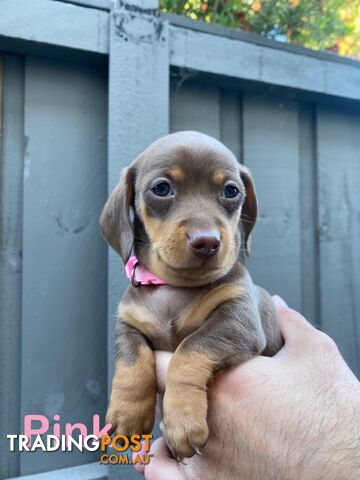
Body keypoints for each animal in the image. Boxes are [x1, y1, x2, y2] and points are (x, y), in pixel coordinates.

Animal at [100, 130, 282, 462]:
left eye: (231, 191)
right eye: (161, 188)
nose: (206, 242)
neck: (176, 287)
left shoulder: (238, 320)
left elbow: (190, 349)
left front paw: (183, 420)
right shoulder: (129, 323)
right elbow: (132, 358)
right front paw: (127, 413)